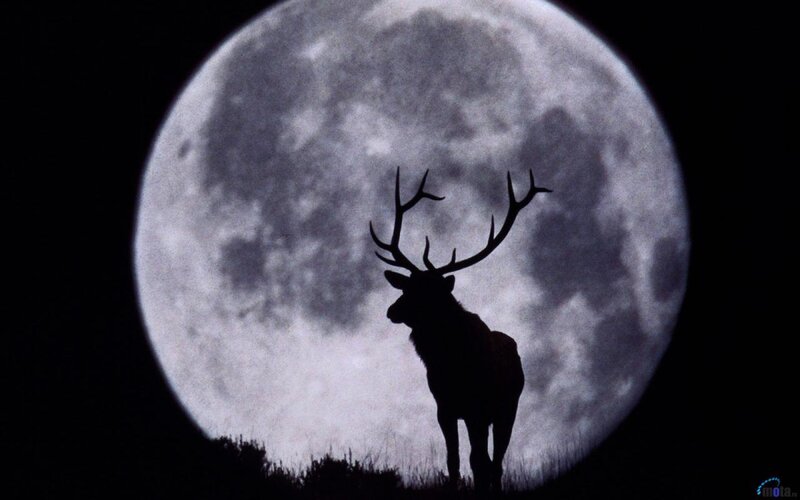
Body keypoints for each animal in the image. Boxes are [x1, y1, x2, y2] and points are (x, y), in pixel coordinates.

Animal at [369, 167, 551, 492]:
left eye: (429, 292)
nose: (392, 311)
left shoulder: (478, 407)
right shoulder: (445, 407)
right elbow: (453, 461)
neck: (450, 362)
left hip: (507, 409)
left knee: (495, 462)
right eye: (406, 287)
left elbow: (478, 462)